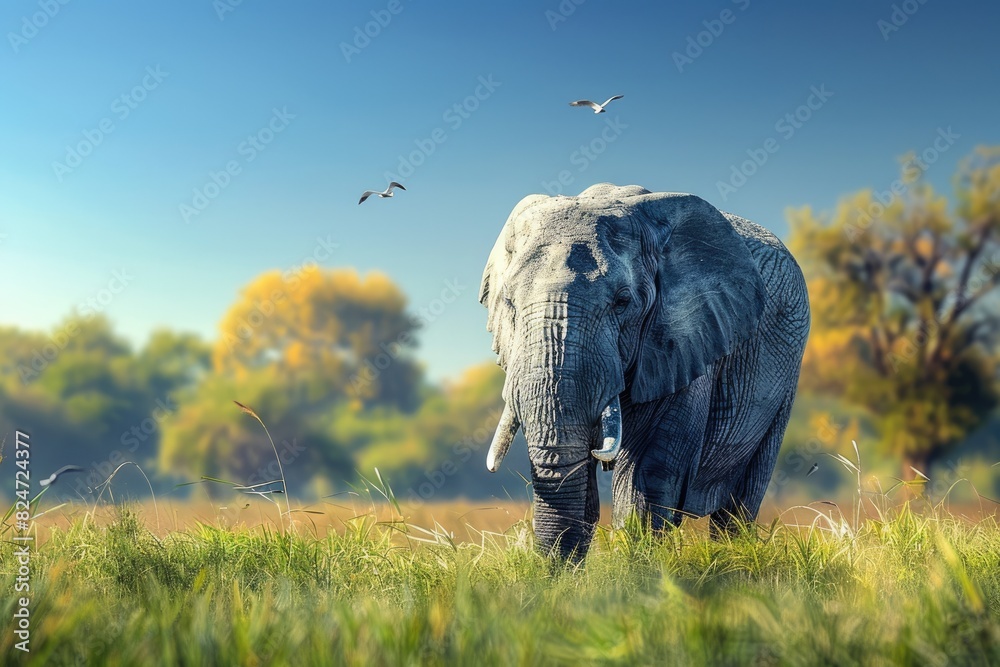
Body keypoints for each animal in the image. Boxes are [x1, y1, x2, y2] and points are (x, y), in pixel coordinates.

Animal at [479, 183, 810, 560]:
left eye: (622, 302)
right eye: (509, 303)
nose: (550, 572)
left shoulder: (684, 339)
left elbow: (645, 477)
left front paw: (639, 569)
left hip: (788, 370)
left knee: (740, 503)